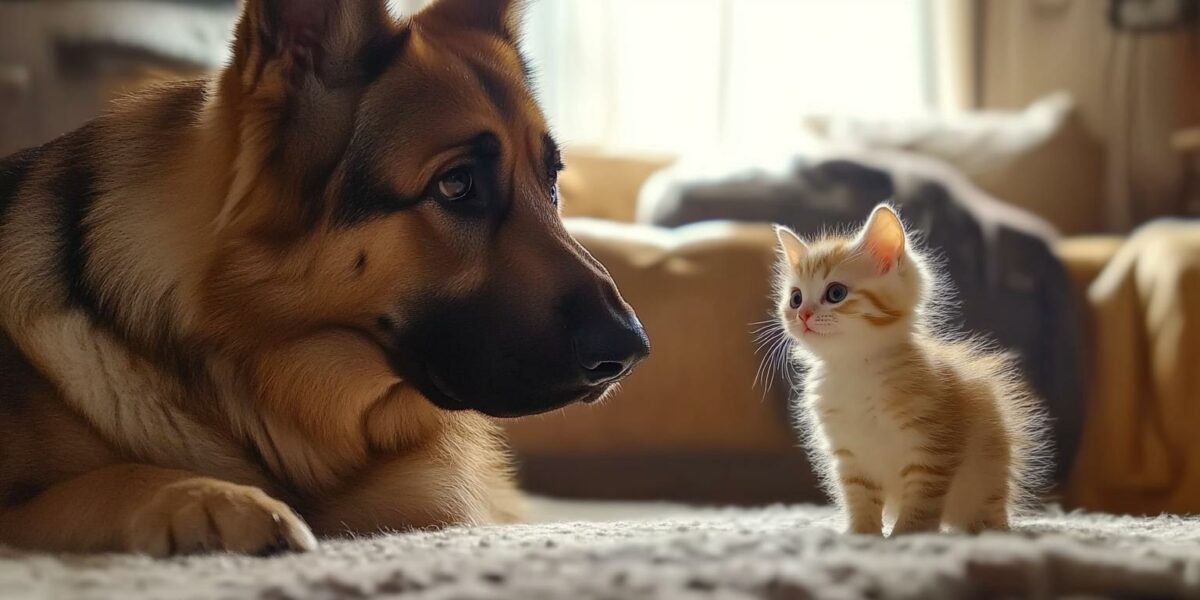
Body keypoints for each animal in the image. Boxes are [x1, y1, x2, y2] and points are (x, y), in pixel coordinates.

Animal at [772, 205, 1046, 535]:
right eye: (795, 298)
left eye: (836, 293)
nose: (803, 314)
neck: (855, 367)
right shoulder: (850, 456)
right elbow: (860, 498)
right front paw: (861, 535)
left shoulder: (934, 447)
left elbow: (921, 502)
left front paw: (906, 536)